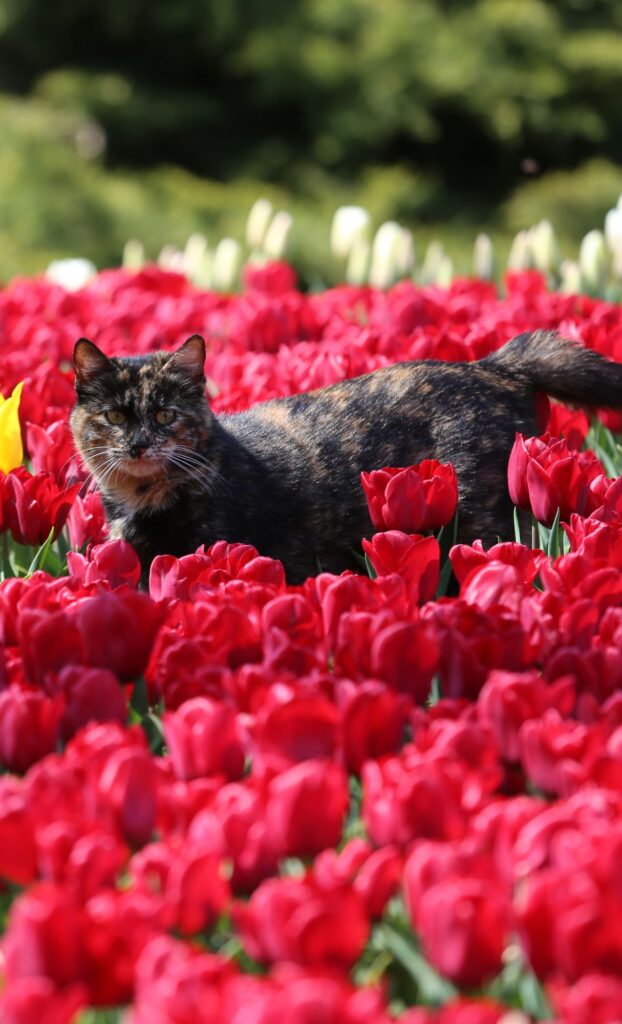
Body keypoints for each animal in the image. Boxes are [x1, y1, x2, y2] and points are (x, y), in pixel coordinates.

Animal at [70, 329, 622, 581]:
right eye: (115, 416)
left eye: (165, 415)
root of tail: (495, 365)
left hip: (487, 523)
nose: (138, 443)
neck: (140, 501)